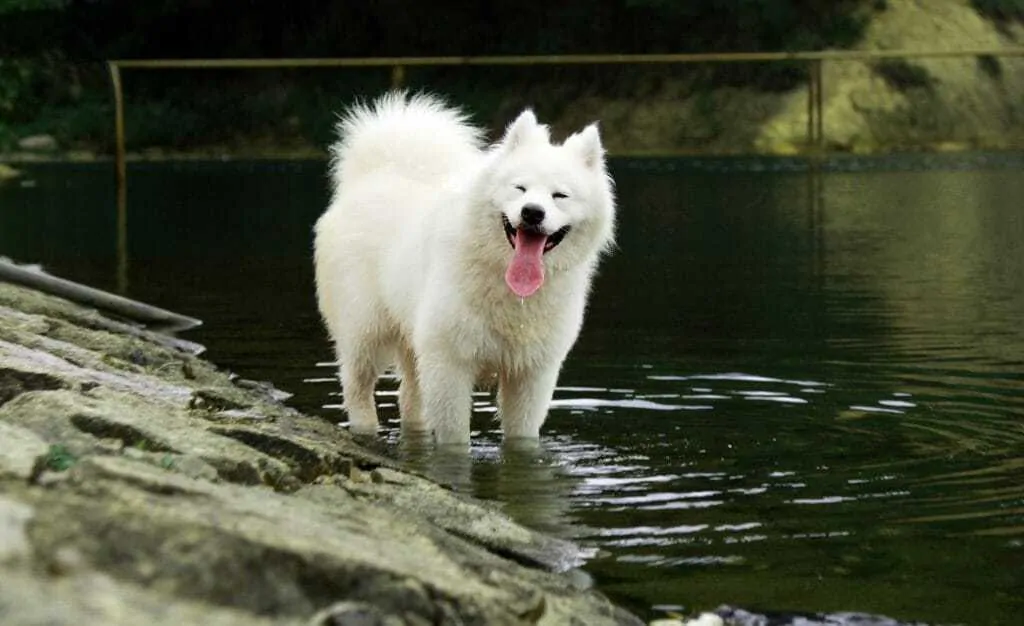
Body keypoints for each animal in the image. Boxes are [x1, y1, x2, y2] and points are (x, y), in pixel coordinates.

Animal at [311, 94, 614, 446]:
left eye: (560, 195)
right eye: (520, 188)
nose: (532, 213)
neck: (506, 284)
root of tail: (377, 173)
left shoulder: (531, 374)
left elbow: (522, 438)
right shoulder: (449, 364)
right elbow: (455, 439)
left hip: (414, 339)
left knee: (409, 397)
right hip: (366, 330)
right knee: (357, 386)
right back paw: (365, 430)